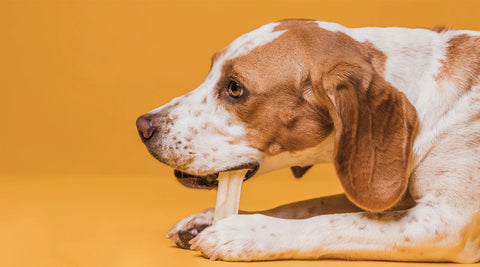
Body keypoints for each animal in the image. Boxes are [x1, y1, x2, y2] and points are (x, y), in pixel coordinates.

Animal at [135, 19, 480, 264]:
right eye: (210, 72)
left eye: (234, 88)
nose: (142, 126)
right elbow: (307, 206)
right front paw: (210, 219)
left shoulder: (445, 222)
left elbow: (337, 223)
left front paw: (245, 232)